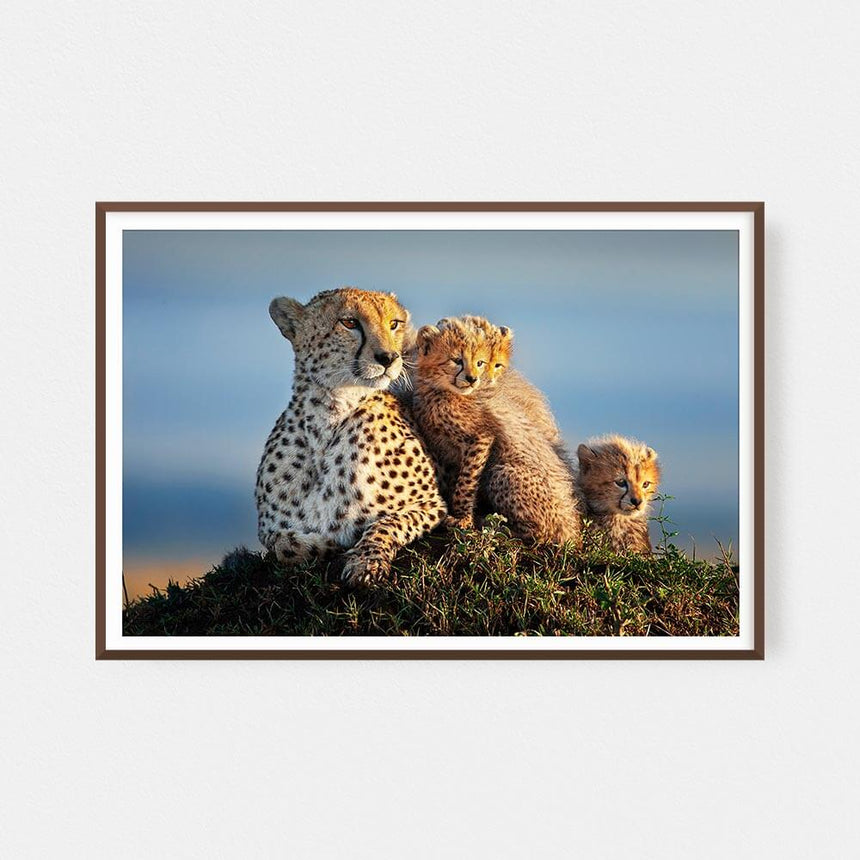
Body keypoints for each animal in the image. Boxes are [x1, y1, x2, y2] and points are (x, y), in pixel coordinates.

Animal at [255, 287, 446, 585]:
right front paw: (323, 545)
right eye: (349, 323)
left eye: (394, 324)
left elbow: (386, 523)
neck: (328, 417)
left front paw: (365, 562)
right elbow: (282, 544)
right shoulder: (269, 529)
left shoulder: (431, 504)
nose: (389, 358)